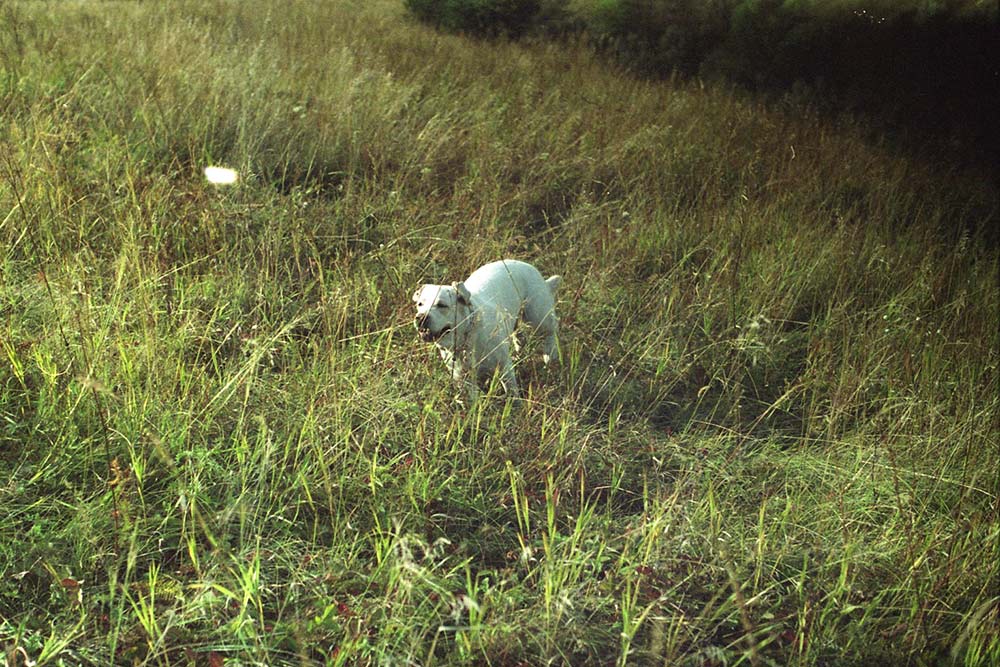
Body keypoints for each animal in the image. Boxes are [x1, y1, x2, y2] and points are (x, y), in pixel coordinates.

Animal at [410, 258, 560, 400]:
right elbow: (473, 399)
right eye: (420, 304)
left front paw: (515, 404)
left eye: (442, 305)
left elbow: (512, 391)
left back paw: (550, 356)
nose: (420, 318)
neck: (466, 337)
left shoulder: (504, 366)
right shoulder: (463, 378)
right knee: (519, 337)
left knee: (551, 331)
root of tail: (530, 267)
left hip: (538, 316)